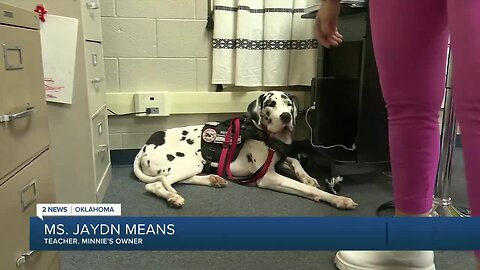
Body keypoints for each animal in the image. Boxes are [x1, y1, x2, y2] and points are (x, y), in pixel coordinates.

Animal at [133, 90, 358, 209]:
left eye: (288, 104)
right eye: (270, 104)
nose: (286, 116)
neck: (263, 135)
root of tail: (144, 146)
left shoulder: (278, 159)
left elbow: (294, 160)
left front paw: (307, 176)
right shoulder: (268, 177)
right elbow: (308, 189)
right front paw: (338, 199)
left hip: (192, 166)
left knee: (172, 180)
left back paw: (213, 179)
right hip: (187, 164)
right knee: (156, 184)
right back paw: (173, 197)